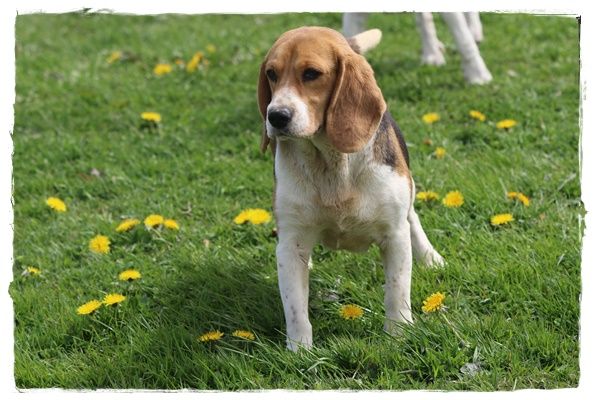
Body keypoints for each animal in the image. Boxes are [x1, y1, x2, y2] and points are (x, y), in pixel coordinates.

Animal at [257, 26, 444, 351]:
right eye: (271, 73)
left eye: (311, 73)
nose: (276, 116)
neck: (331, 163)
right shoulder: (291, 244)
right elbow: (295, 307)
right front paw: (299, 351)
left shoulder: (394, 235)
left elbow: (397, 290)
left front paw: (398, 335)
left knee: (414, 218)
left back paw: (429, 256)